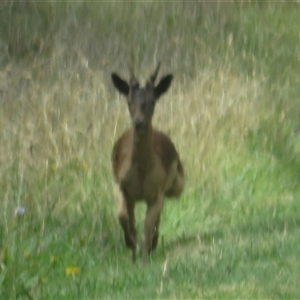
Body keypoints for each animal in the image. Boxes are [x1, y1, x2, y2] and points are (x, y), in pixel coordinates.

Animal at [110, 62, 184, 262]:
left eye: (152, 101)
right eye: (129, 101)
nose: (139, 122)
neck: (142, 173)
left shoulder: (156, 193)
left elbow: (146, 230)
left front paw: (144, 260)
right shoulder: (120, 185)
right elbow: (123, 217)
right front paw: (131, 250)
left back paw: (153, 245)